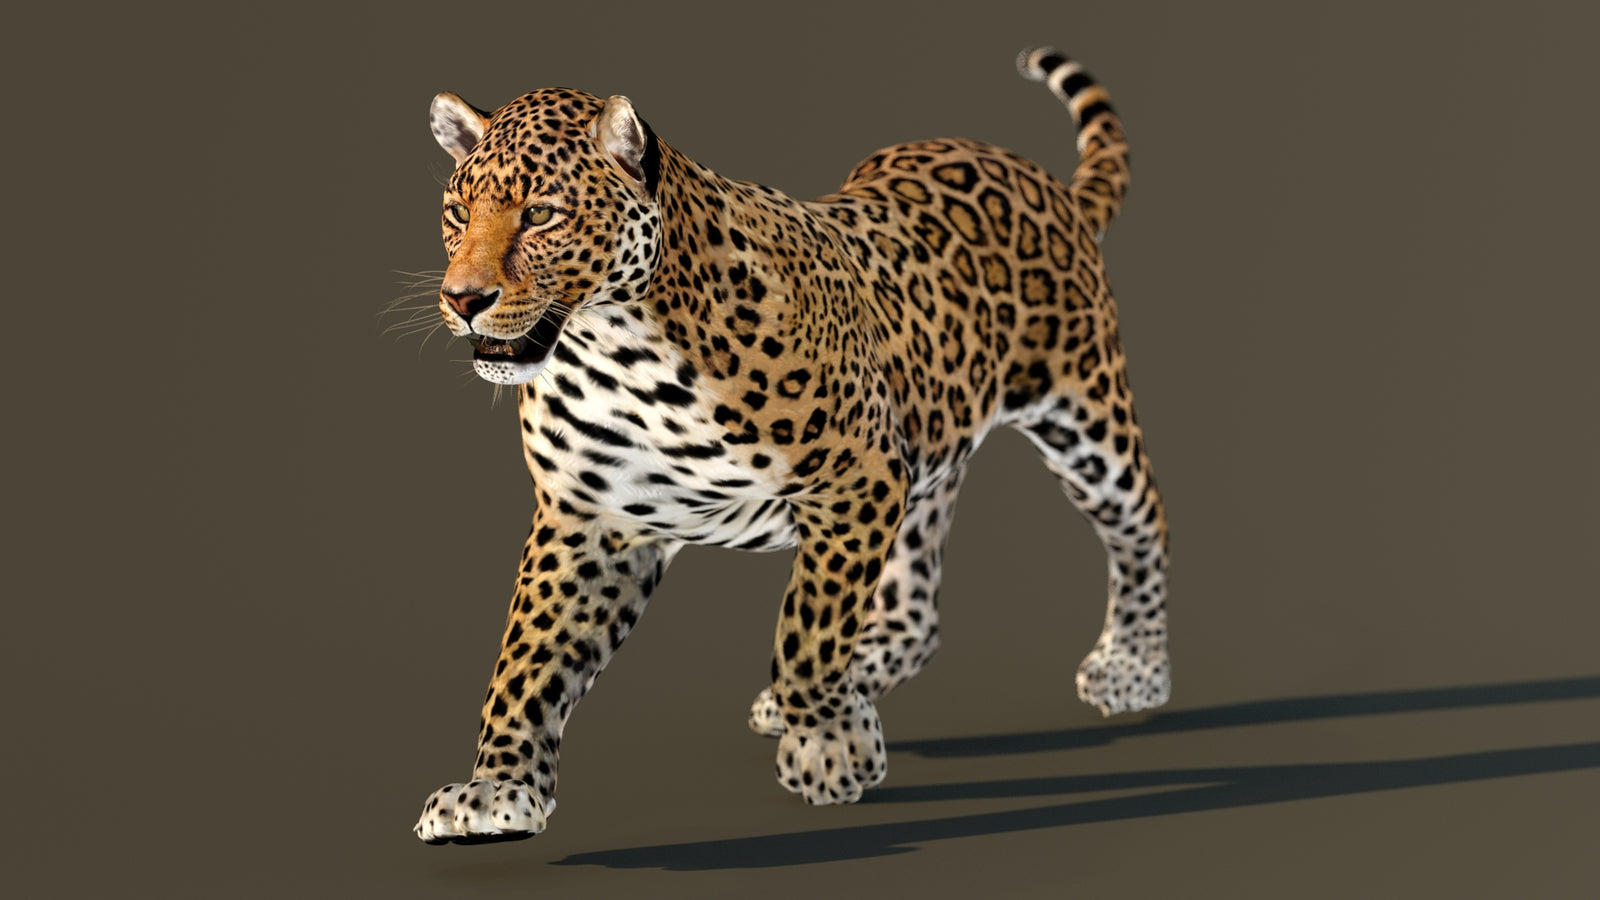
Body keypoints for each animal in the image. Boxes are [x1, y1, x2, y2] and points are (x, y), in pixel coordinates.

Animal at [409, 47, 1171, 844]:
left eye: (542, 215)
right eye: (458, 212)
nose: (463, 299)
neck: (617, 348)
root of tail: (1047, 183)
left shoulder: (856, 480)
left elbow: (809, 629)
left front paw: (830, 749)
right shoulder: (589, 517)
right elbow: (528, 658)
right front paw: (495, 788)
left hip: (1086, 417)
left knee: (1143, 524)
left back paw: (1132, 667)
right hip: (927, 448)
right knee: (916, 608)